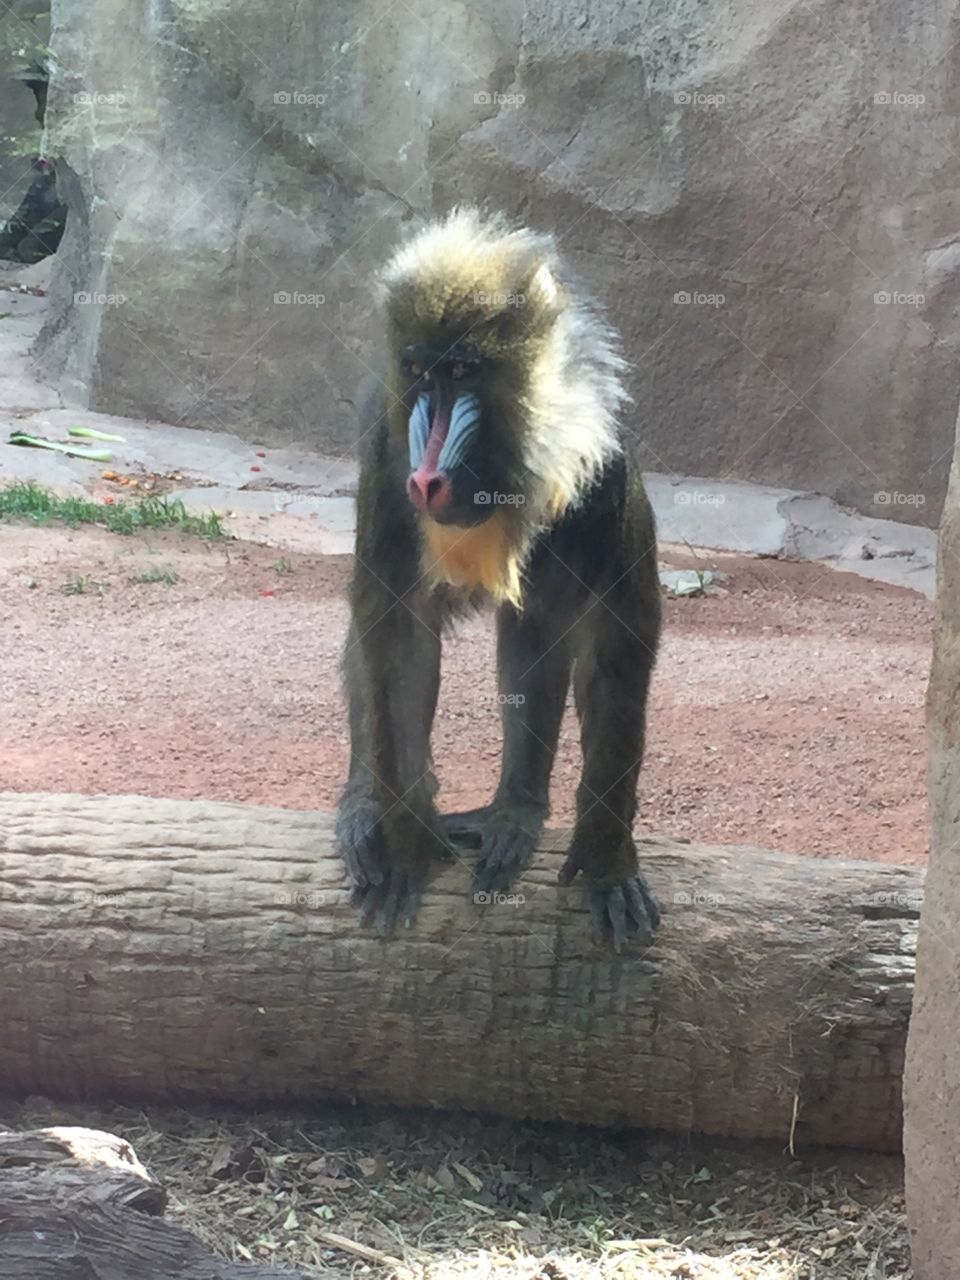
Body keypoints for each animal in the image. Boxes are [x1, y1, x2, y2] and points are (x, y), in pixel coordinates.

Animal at [336, 208, 662, 951]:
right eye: (420, 373)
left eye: (463, 371)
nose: (426, 478)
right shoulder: (384, 457)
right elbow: (394, 639)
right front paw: (404, 847)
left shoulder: (607, 481)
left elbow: (612, 655)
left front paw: (608, 863)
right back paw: (367, 809)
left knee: (533, 635)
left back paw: (515, 812)